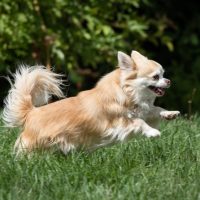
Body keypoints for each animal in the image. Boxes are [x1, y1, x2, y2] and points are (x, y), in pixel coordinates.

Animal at [1, 50, 180, 154]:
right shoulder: (118, 123)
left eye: (163, 74)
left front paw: (170, 114)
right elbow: (139, 122)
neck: (127, 93)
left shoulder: (143, 110)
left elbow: (155, 109)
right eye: (156, 77)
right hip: (35, 144)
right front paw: (153, 132)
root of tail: (31, 112)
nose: (169, 80)